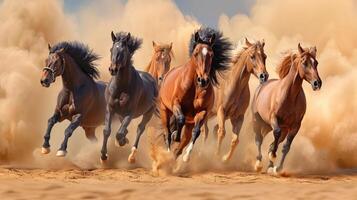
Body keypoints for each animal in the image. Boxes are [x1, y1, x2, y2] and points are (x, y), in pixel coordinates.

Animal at [99, 30, 156, 162]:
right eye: (111, 49)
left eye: (123, 51)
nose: (113, 69)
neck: (121, 87)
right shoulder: (110, 109)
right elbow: (107, 130)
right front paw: (103, 156)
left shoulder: (130, 113)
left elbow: (119, 133)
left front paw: (120, 142)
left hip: (149, 113)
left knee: (140, 128)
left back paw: (132, 156)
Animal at [159, 26, 232, 162]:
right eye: (195, 53)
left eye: (211, 54)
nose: (203, 80)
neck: (194, 88)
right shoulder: (176, 104)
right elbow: (180, 119)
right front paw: (176, 135)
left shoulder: (202, 112)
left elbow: (196, 132)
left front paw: (186, 156)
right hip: (164, 110)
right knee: (167, 132)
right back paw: (168, 151)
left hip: (189, 123)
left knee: (183, 141)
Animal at [250, 43, 322, 173]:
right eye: (304, 62)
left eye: (316, 63)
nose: (317, 83)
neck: (290, 96)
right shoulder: (274, 119)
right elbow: (276, 136)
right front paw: (273, 156)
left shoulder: (295, 126)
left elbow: (285, 147)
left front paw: (278, 168)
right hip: (257, 121)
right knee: (259, 140)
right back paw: (258, 164)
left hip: (278, 128)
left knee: (273, 142)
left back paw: (270, 166)